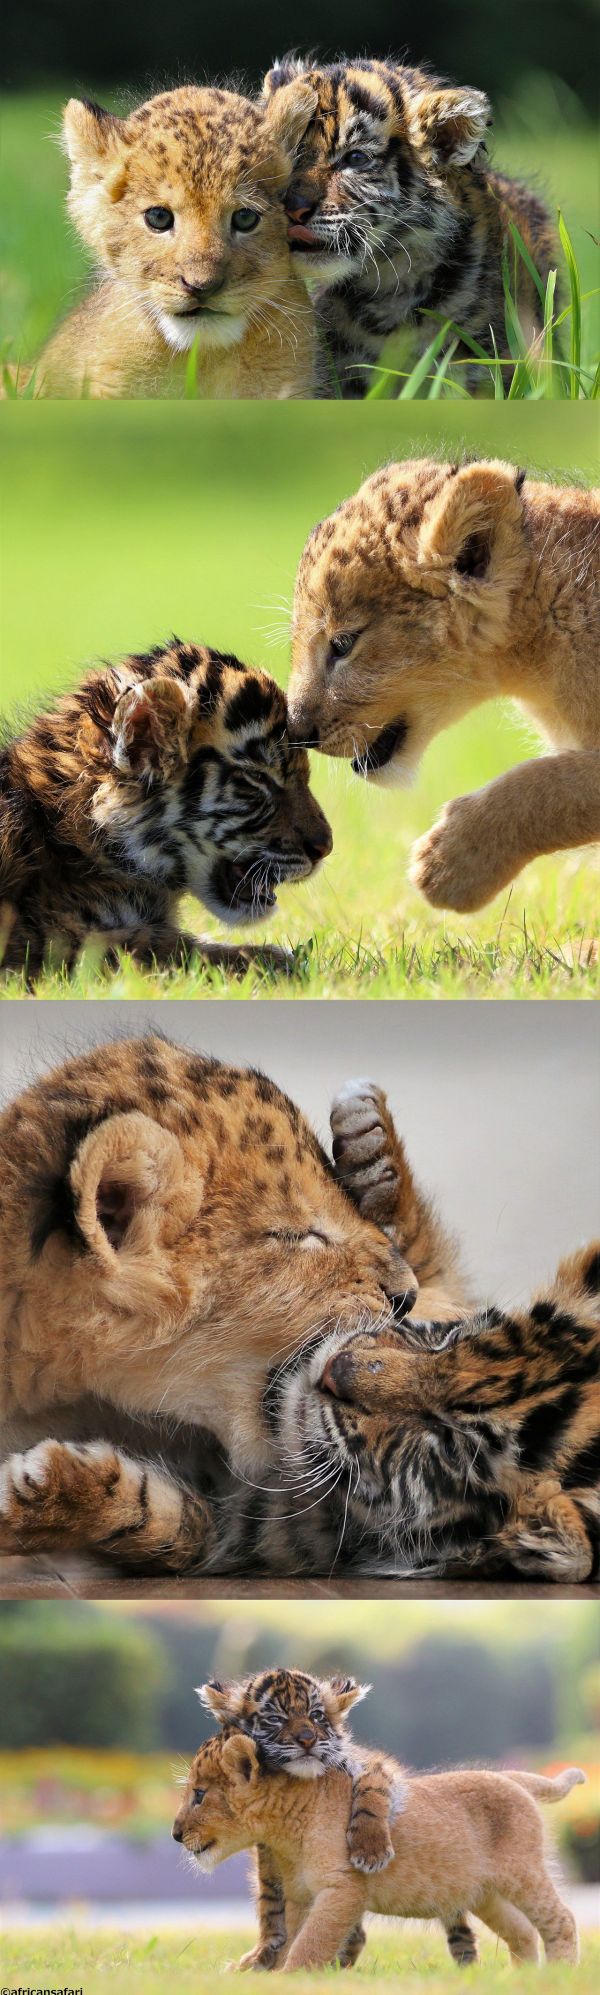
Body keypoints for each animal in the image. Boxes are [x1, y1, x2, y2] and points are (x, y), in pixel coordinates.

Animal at [173, 1729, 582, 1968]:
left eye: (199, 1795)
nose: (175, 1834)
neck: (285, 1829)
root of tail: (508, 1776)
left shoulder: (343, 1889)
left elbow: (311, 1943)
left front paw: (292, 1978)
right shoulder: (298, 1896)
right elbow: (287, 1937)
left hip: (522, 1873)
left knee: (561, 1919)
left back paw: (557, 1976)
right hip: (486, 1894)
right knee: (523, 1932)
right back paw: (520, 1980)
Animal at [199, 1667, 480, 1972]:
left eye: (316, 1715)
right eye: (275, 1718)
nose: (307, 1738)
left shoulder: (368, 1764)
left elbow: (372, 1792)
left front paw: (370, 1851)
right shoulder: (269, 1854)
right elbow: (271, 1901)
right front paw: (264, 1954)